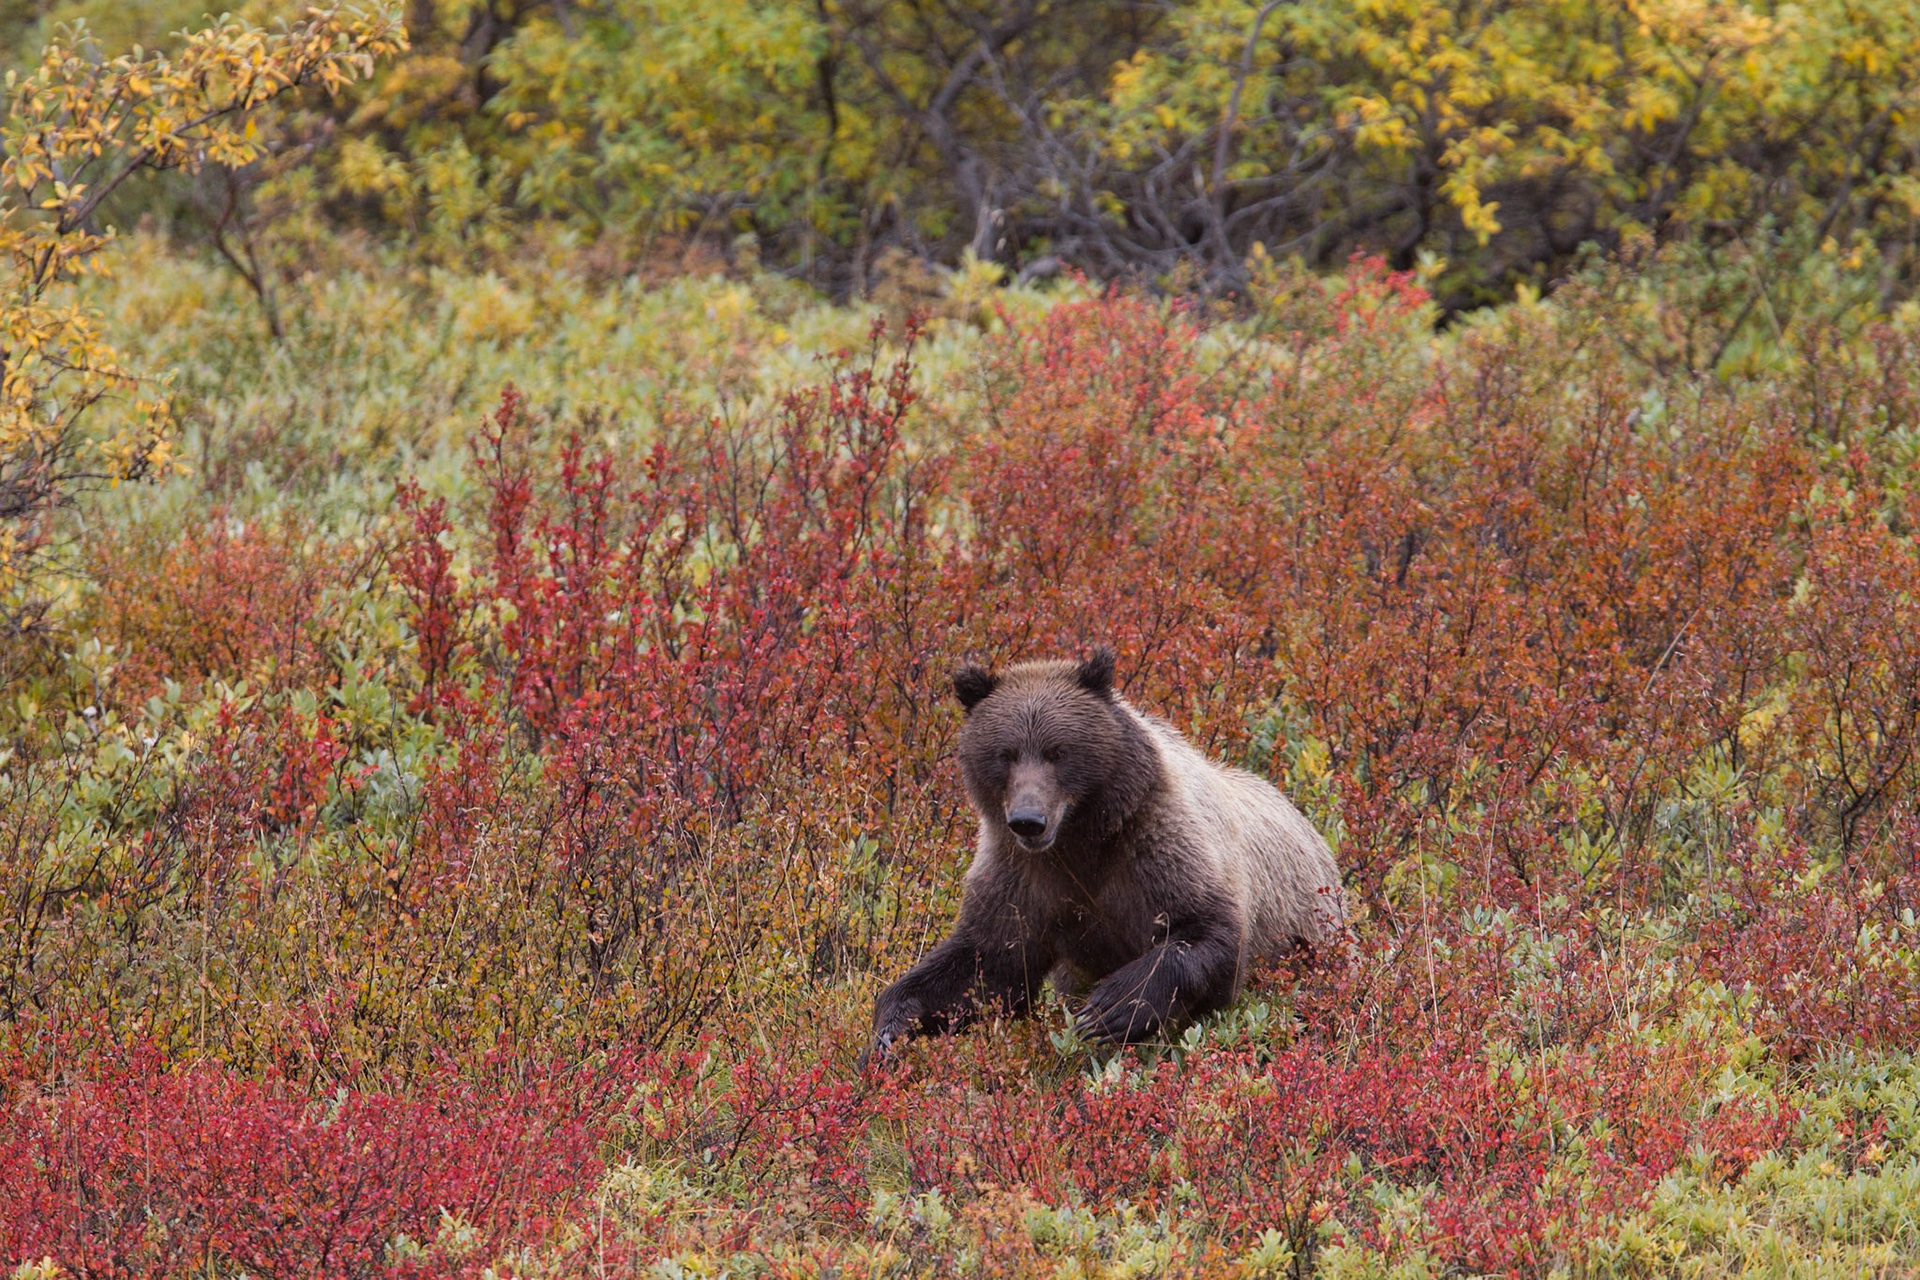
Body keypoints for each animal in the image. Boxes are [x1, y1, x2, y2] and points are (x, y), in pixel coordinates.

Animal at [868, 647, 1344, 1059]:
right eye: (1005, 753)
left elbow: (1208, 932)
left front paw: (1109, 1009)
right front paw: (890, 1029)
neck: (1080, 838)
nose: (1028, 819)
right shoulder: (1020, 875)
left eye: (1058, 751)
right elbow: (986, 965)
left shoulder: (1159, 847)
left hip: (1311, 936)